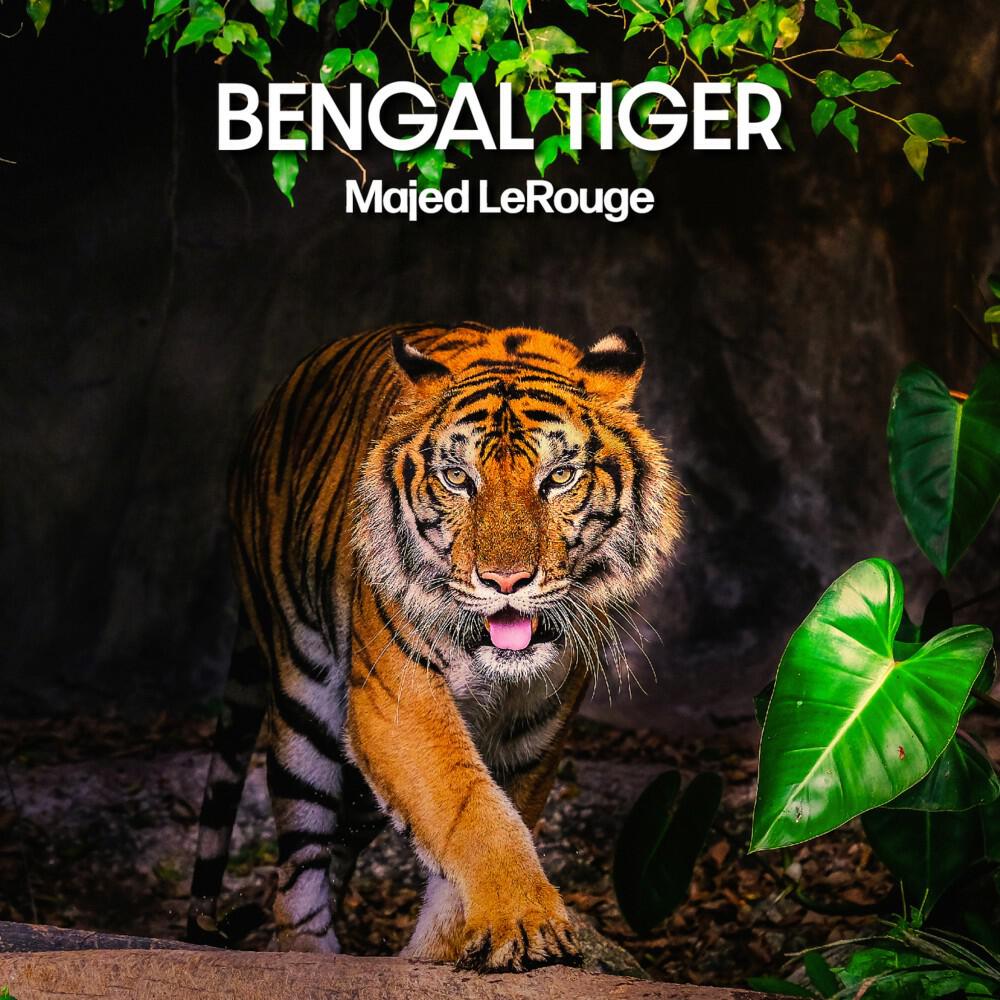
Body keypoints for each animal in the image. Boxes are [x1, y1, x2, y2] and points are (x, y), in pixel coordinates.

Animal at [187, 321, 682, 972]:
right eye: (457, 480)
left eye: (559, 478)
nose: (504, 580)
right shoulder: (398, 705)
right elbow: (471, 809)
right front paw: (526, 919)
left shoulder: (535, 734)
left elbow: (487, 823)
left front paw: (443, 950)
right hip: (303, 702)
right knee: (300, 866)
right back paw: (310, 954)